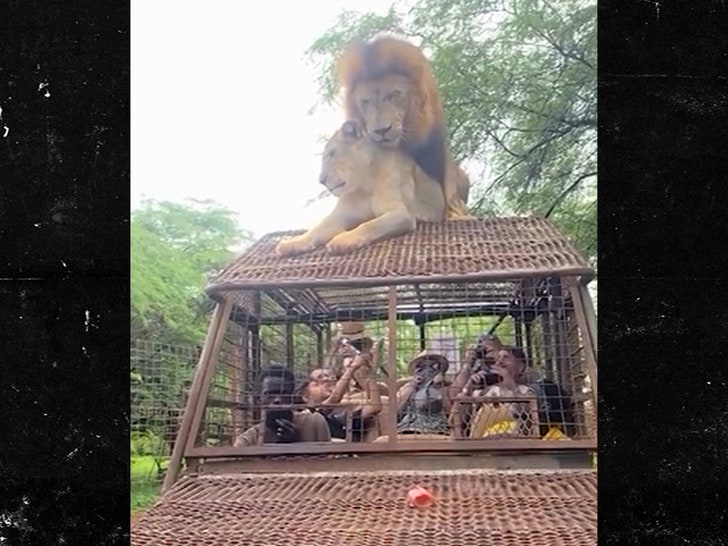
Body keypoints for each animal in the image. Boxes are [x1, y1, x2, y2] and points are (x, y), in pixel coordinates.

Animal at [275, 119, 446, 257]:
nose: (321, 180)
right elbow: (317, 228)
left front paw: (342, 240)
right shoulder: (341, 215)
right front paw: (291, 243)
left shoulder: (401, 212)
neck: (365, 185)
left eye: (331, 154)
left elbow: (370, 224)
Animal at [335, 35, 472, 220]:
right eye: (365, 102)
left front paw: (456, 213)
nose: (381, 131)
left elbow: (448, 186)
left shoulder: (436, 145)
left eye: (393, 95)